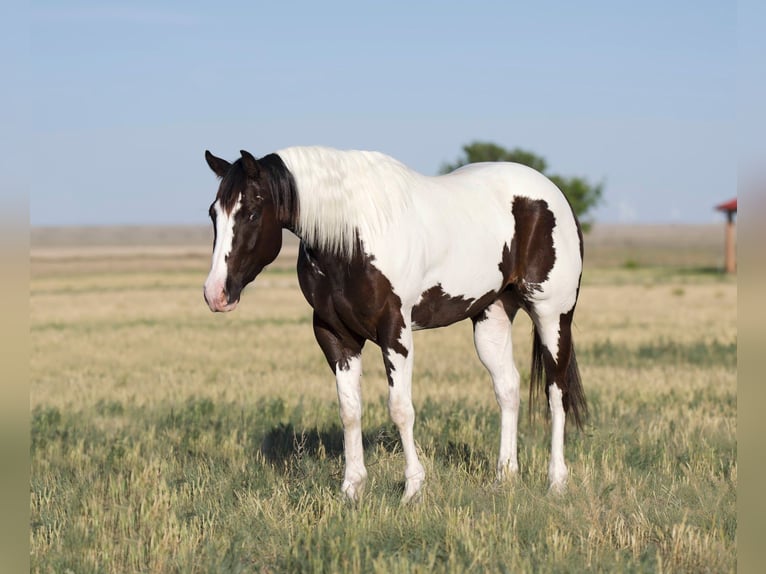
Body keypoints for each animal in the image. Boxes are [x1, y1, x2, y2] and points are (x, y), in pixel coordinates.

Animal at [202, 145, 588, 504]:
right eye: (213, 213)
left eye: (251, 212)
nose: (215, 293)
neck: (352, 235)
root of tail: (553, 195)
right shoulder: (335, 335)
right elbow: (349, 411)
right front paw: (351, 489)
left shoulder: (394, 332)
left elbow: (401, 408)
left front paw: (412, 489)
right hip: (492, 316)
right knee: (508, 388)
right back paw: (504, 478)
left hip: (552, 315)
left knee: (556, 392)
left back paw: (556, 482)